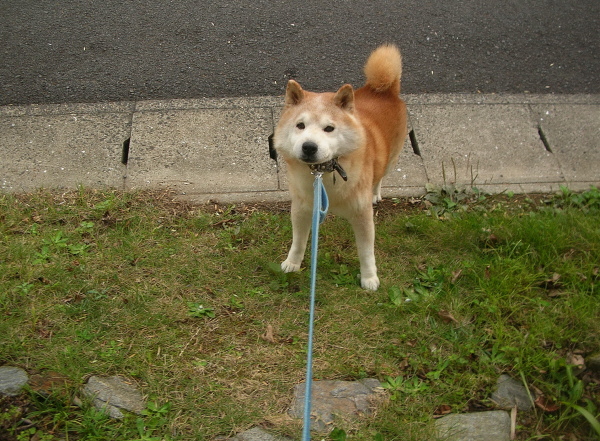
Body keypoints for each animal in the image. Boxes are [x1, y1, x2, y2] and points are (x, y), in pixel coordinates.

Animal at [273, 44, 408, 291]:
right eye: (300, 125)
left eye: (329, 128)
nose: (309, 146)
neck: (324, 172)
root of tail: (383, 90)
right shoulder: (302, 208)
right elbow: (298, 241)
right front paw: (292, 263)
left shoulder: (362, 215)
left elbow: (366, 252)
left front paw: (369, 277)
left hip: (392, 158)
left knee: (380, 176)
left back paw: (376, 192)